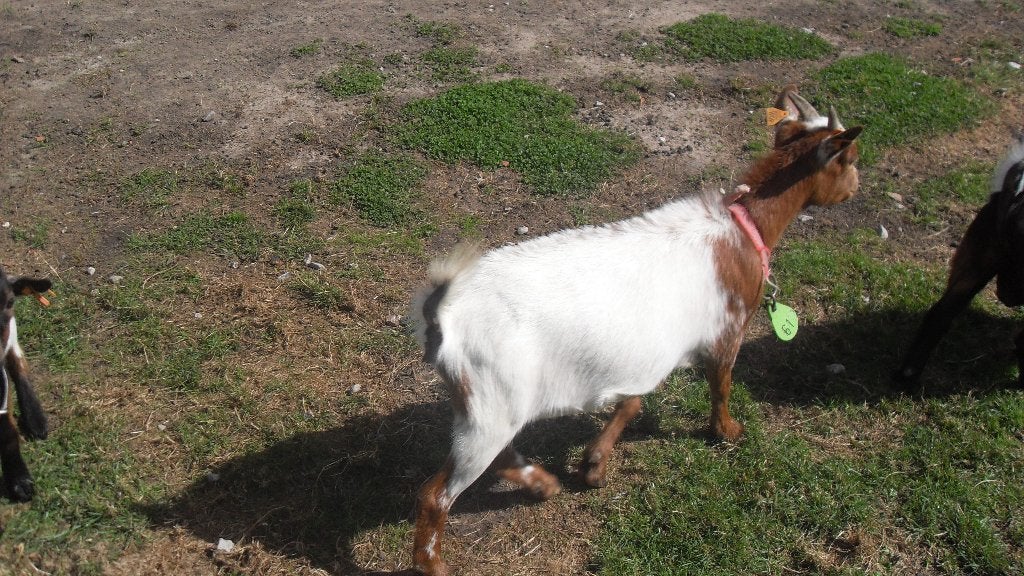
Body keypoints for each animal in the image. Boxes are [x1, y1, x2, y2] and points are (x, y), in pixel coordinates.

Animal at [408, 86, 862, 576]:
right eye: (851, 158)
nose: (855, 188)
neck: (744, 230)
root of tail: (443, 317)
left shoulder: (645, 357)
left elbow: (632, 403)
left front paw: (593, 466)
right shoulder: (727, 331)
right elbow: (720, 386)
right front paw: (727, 432)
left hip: (488, 403)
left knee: (497, 453)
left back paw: (541, 484)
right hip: (490, 402)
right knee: (436, 495)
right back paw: (434, 563)